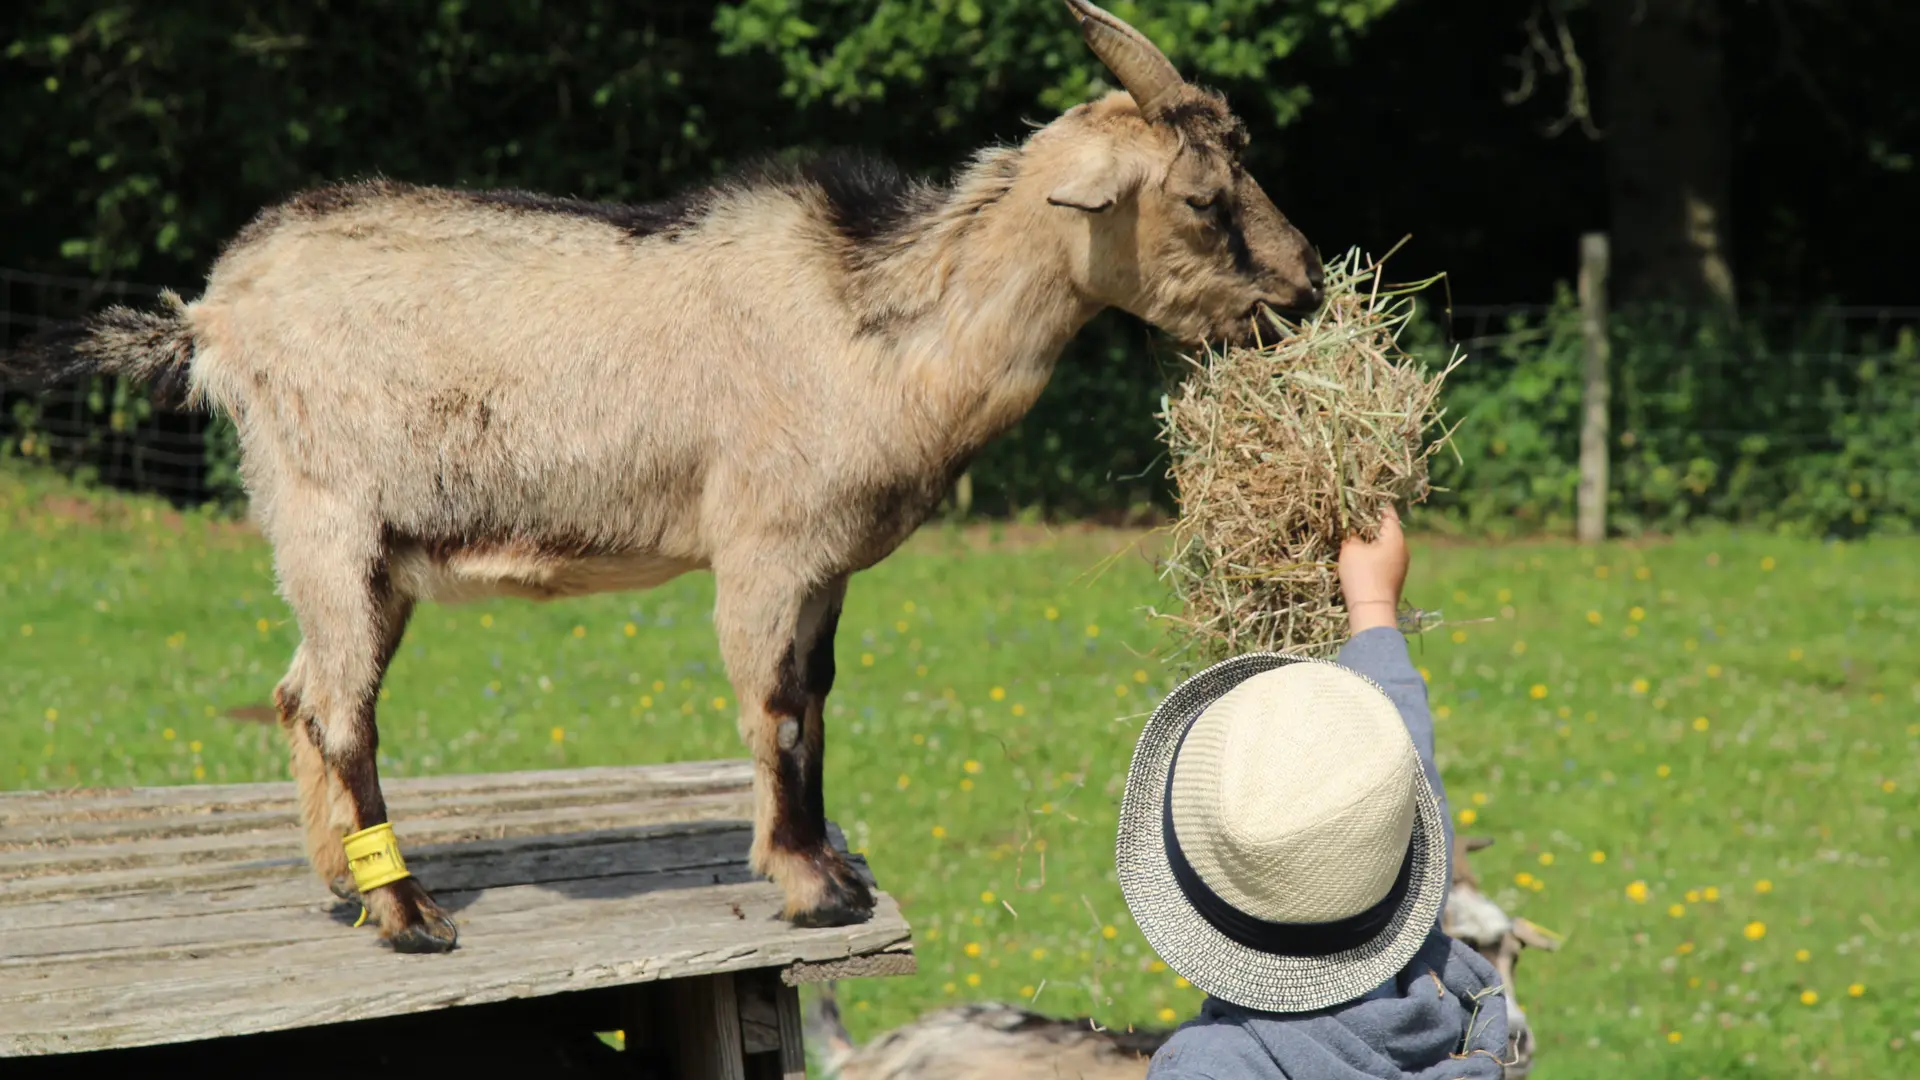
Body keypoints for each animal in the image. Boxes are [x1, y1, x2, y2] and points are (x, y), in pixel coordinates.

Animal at [3, 0, 1320, 945]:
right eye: (1203, 196)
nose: (1304, 291)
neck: (876, 324)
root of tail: (214, 316)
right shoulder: (765, 544)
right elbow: (774, 702)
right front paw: (809, 891)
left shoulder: (828, 563)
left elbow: (819, 697)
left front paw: (833, 865)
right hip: (327, 514)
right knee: (338, 708)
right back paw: (406, 912)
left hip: (364, 554)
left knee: (296, 692)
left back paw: (342, 881)